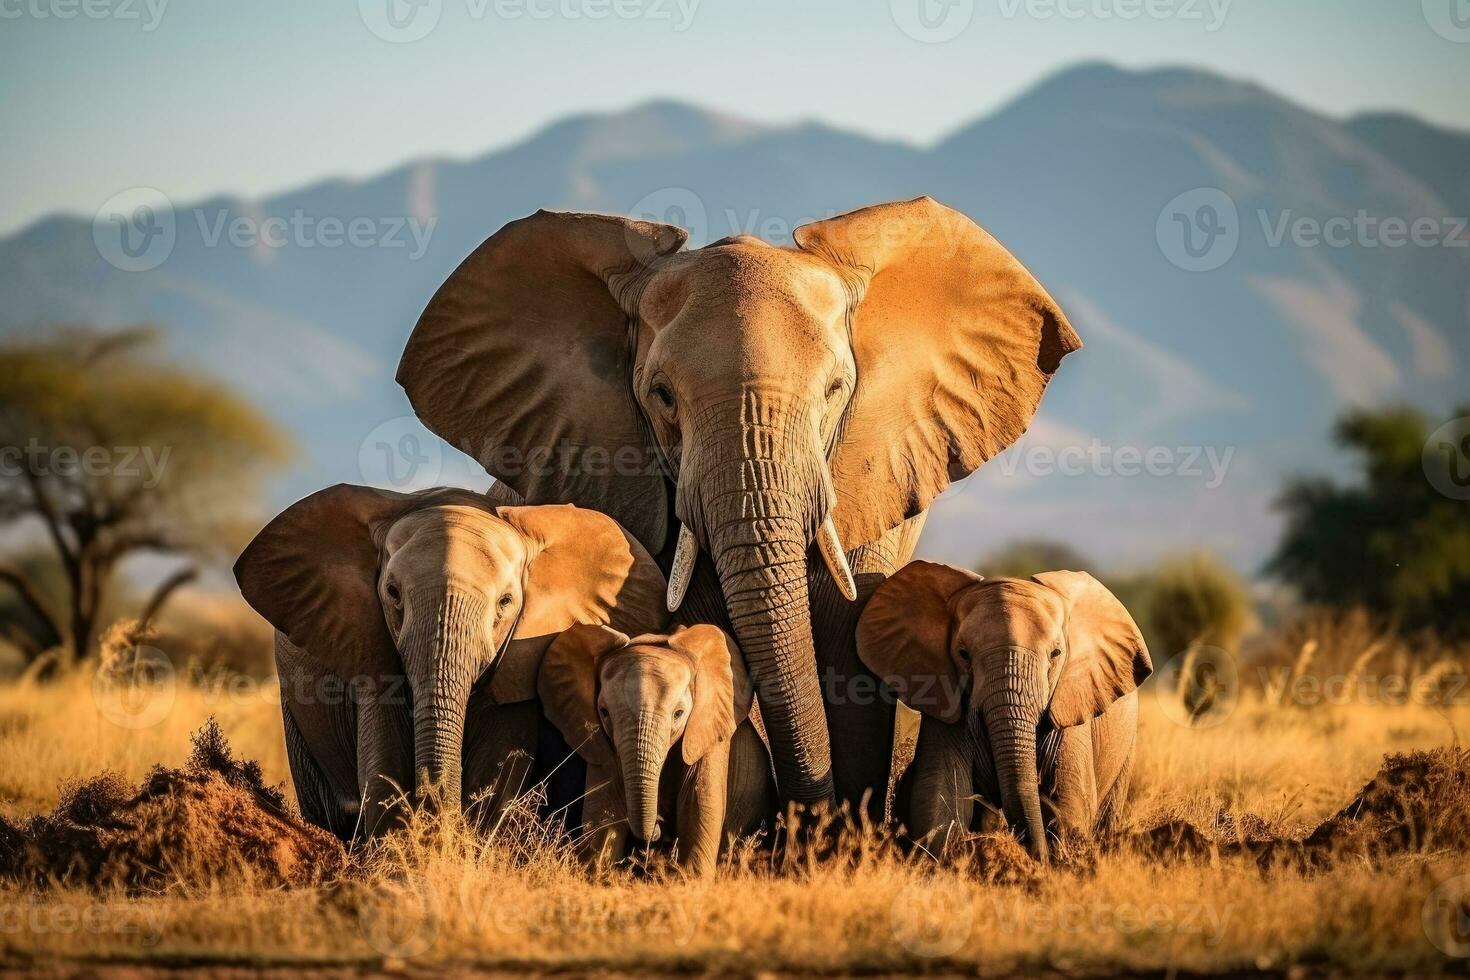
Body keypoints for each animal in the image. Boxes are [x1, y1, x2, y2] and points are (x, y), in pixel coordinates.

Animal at [233, 487, 667, 840]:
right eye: (392, 593)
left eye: (506, 602)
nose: (434, 804)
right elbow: (384, 766)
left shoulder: (516, 660)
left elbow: (498, 771)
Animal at [538, 625, 770, 875]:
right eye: (604, 713)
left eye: (679, 714)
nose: (659, 824)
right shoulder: (602, 743)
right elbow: (603, 810)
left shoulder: (709, 729)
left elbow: (698, 805)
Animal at [858, 564, 1152, 863]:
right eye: (963, 654)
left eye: (1056, 653)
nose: (1037, 858)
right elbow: (941, 796)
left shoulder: (1069, 704)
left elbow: (1070, 802)